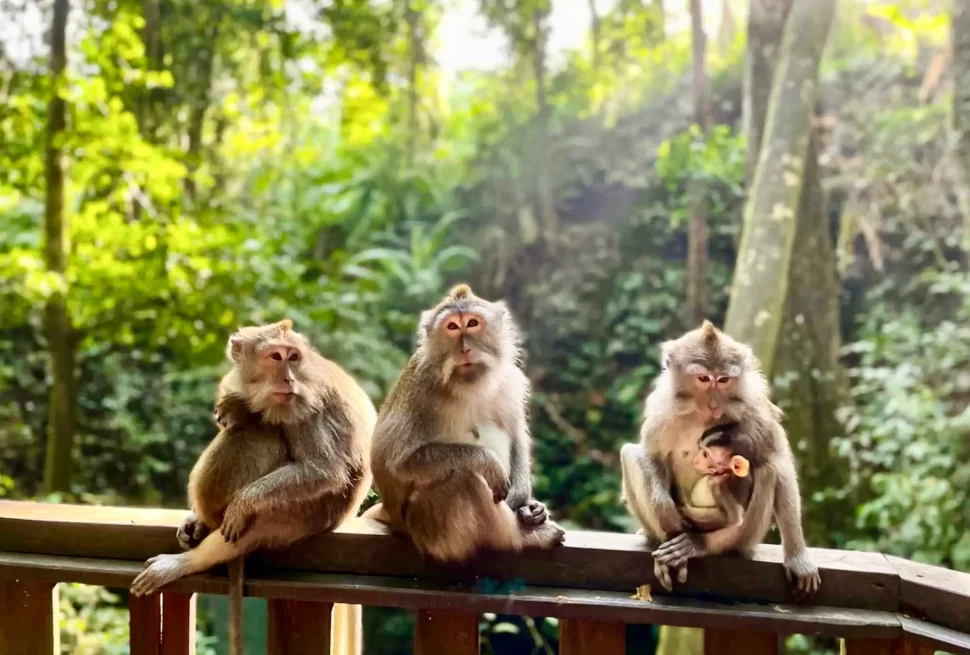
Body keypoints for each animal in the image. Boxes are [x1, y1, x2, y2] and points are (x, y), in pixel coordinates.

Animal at [130, 319, 376, 655]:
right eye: (276, 357)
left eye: (293, 357)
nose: (288, 378)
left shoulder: (307, 402)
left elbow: (323, 468)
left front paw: (243, 502)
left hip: (306, 512)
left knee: (261, 434)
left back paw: (187, 561)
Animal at [362, 283, 564, 562]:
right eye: (452, 327)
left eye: (472, 323)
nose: (465, 348)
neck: (468, 383)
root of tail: (393, 519)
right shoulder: (420, 389)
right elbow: (399, 461)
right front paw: (488, 462)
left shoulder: (509, 381)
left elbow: (516, 436)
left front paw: (524, 500)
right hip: (429, 530)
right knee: (464, 479)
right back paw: (522, 537)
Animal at [619, 320, 820, 598]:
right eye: (704, 379)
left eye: (724, 380)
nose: (714, 403)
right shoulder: (661, 408)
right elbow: (652, 455)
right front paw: (666, 510)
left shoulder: (754, 407)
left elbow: (780, 465)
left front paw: (798, 559)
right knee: (629, 453)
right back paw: (665, 538)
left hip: (745, 536)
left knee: (767, 471)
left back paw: (699, 544)